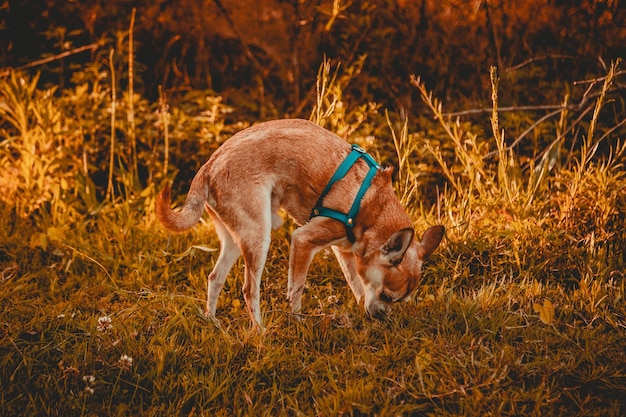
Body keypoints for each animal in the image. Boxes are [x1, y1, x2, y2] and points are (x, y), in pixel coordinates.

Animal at [156, 118, 444, 328]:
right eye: (386, 296)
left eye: (399, 301)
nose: (381, 318)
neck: (371, 206)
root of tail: (209, 165)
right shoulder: (303, 241)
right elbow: (296, 288)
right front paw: (296, 320)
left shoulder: (344, 253)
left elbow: (357, 285)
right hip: (260, 238)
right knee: (249, 290)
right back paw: (259, 332)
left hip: (236, 240)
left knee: (215, 278)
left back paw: (212, 321)